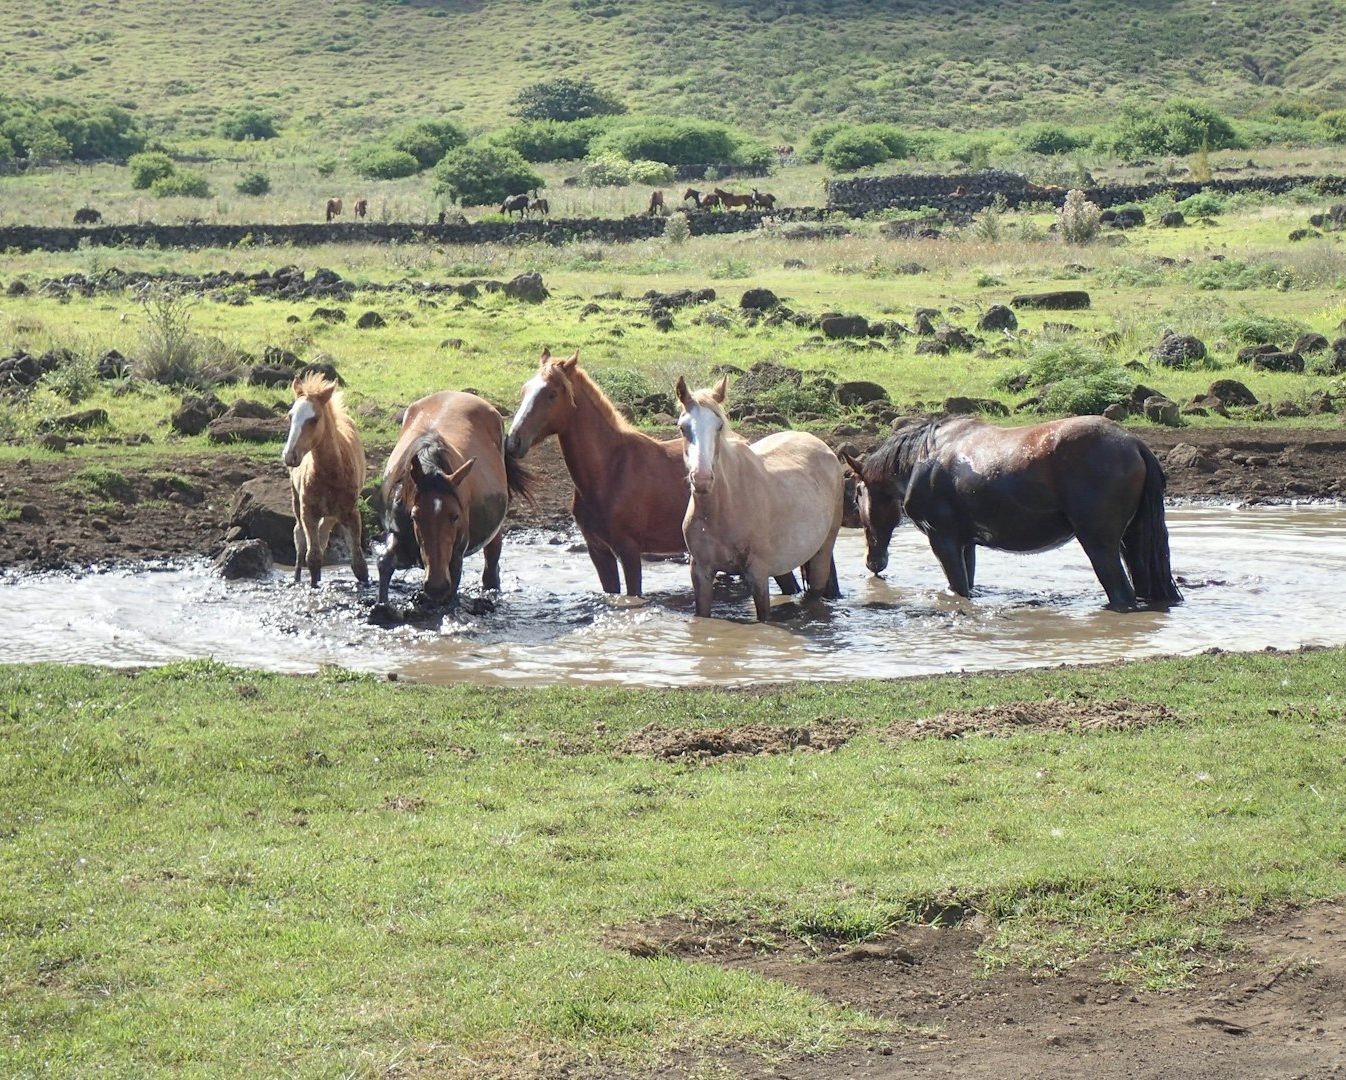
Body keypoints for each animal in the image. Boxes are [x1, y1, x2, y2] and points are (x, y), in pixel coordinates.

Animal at [282, 372, 369, 588]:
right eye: (290, 416)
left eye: (314, 419)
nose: (289, 456)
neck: (331, 472)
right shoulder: (308, 511)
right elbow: (312, 557)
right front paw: (313, 583)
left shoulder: (351, 512)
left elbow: (359, 563)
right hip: (297, 501)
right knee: (300, 536)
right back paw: (296, 577)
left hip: (332, 514)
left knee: (323, 535)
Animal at [378, 391, 532, 607]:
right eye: (415, 516)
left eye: (455, 516)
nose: (437, 586)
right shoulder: (396, 532)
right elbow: (384, 563)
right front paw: (381, 605)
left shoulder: (455, 558)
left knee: (491, 566)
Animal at [504, 349, 802, 599]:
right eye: (525, 390)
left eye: (552, 393)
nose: (513, 442)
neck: (610, 471)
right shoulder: (599, 551)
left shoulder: (628, 551)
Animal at [676, 376, 843, 621]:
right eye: (683, 427)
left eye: (719, 426)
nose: (702, 479)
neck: (724, 508)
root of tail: (824, 447)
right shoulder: (701, 572)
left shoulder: (758, 574)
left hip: (823, 550)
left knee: (814, 593)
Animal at [841, 416, 1182, 611]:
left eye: (858, 494)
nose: (873, 562)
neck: (922, 458)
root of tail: (1133, 443)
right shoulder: (966, 544)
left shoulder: (943, 541)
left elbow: (958, 588)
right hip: (1132, 541)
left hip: (1099, 544)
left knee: (1122, 594)